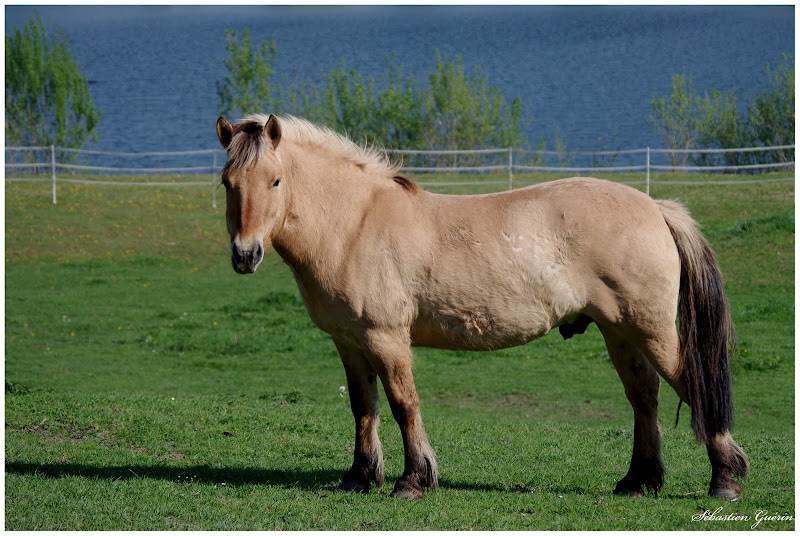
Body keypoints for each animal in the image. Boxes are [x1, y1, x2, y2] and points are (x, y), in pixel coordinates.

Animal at [216, 114, 748, 502]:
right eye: (227, 182)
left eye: (276, 181)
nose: (244, 255)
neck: (355, 224)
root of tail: (656, 208)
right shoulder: (349, 343)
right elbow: (363, 408)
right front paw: (359, 476)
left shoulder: (386, 338)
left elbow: (403, 404)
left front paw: (413, 481)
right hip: (620, 332)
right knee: (643, 398)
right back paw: (638, 481)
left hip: (651, 330)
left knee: (692, 386)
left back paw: (724, 480)